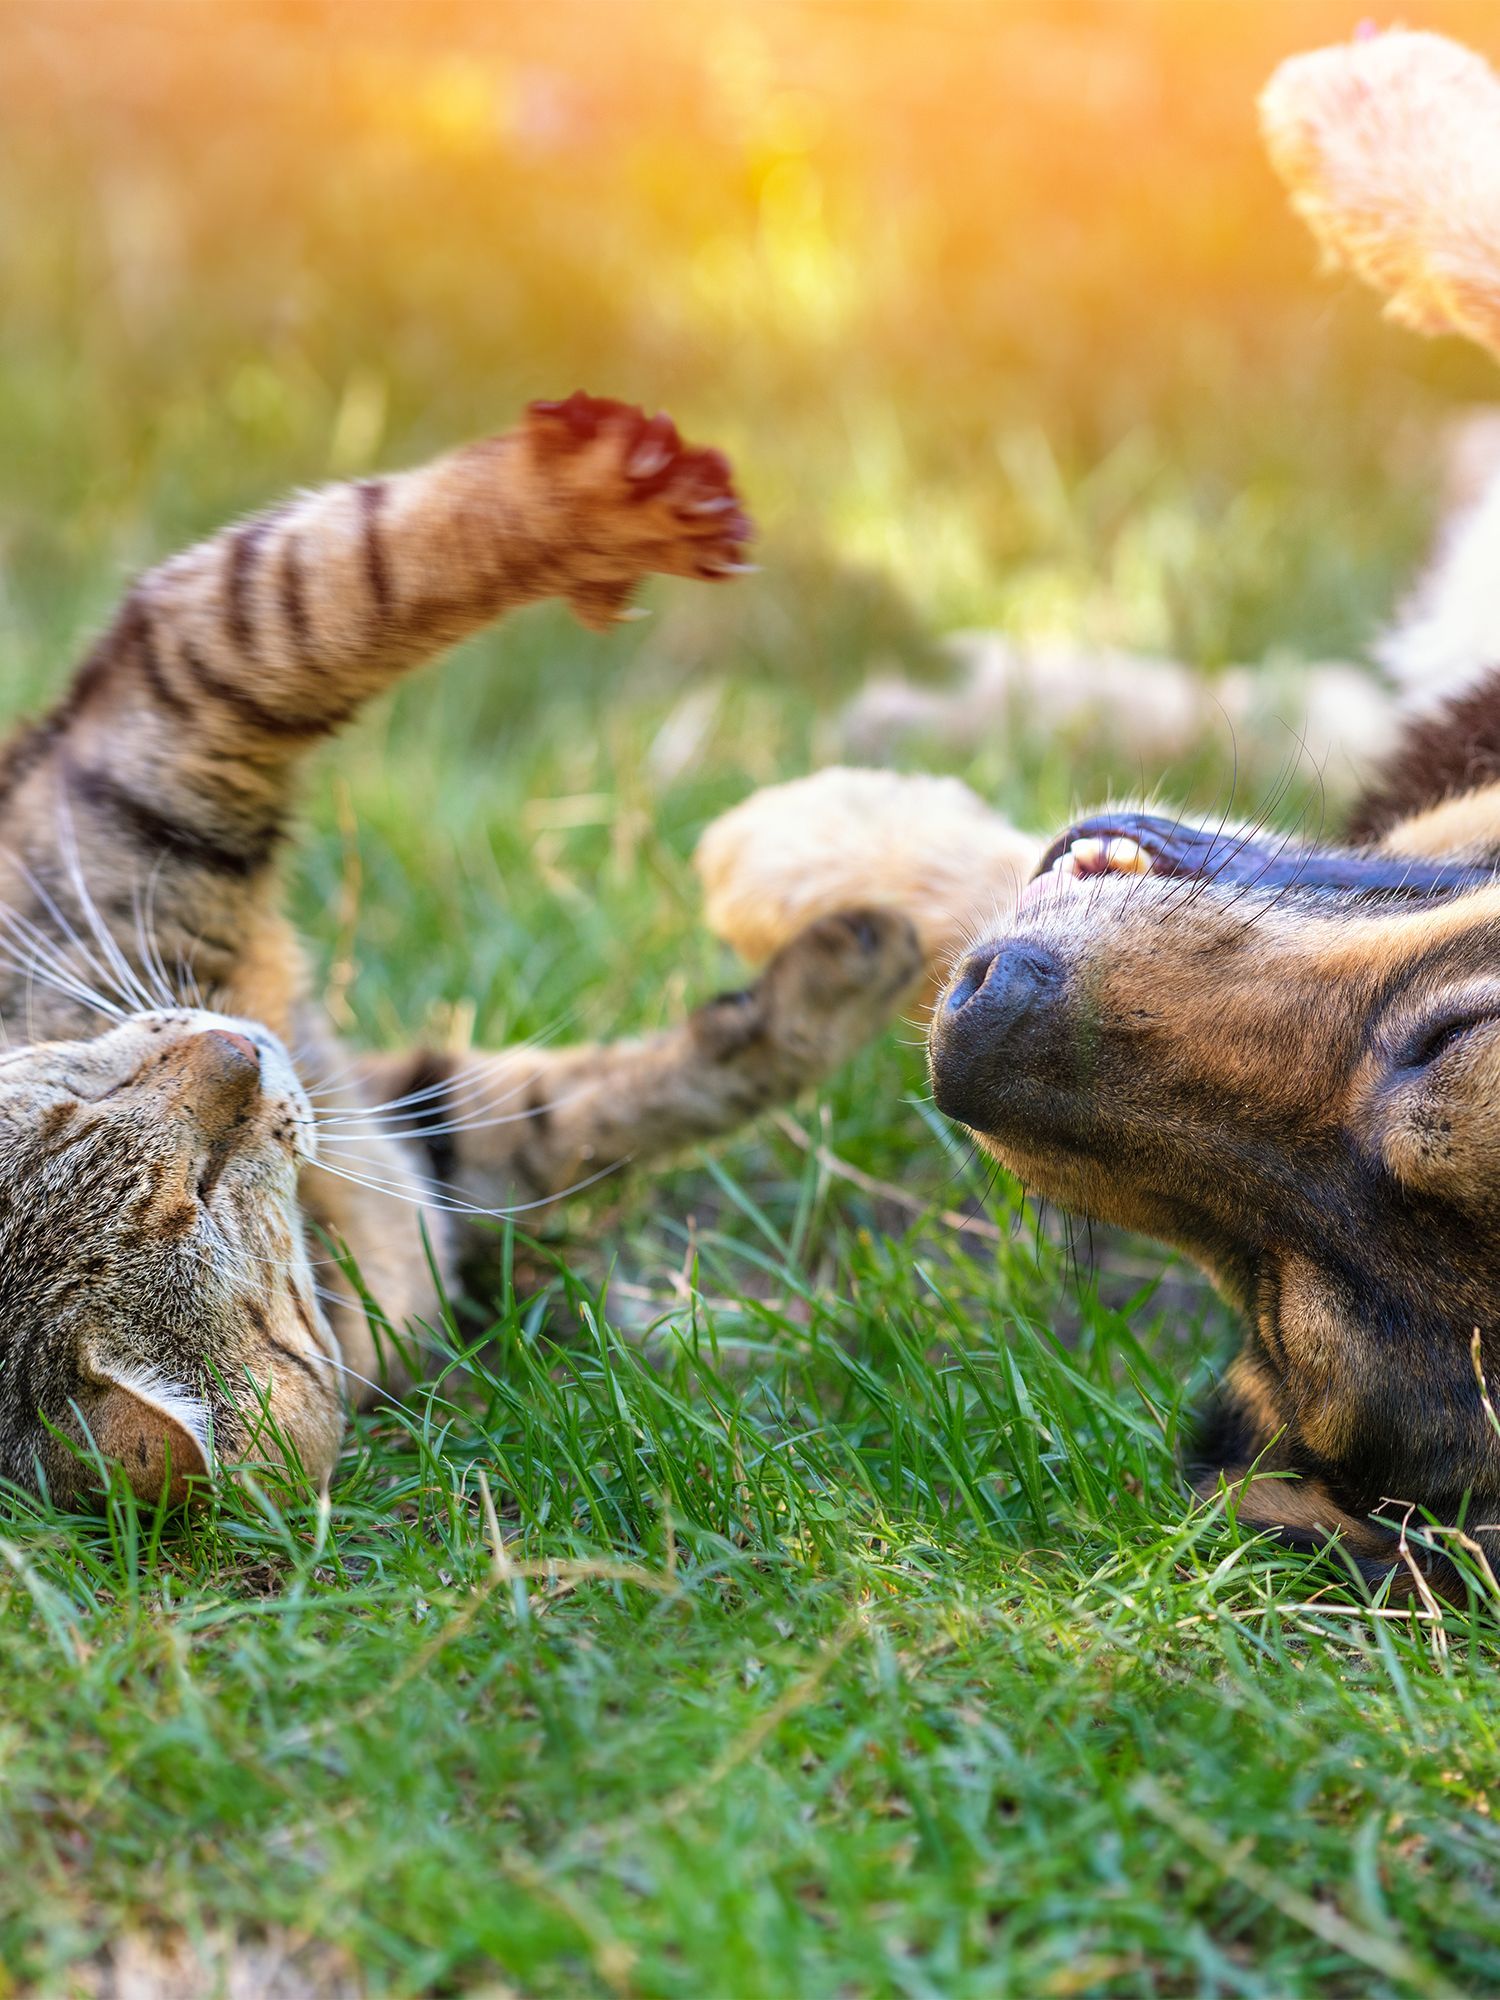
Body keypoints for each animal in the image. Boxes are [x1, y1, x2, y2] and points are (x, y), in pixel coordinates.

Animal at [0, 394, 924, 1504]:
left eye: (82, 1095)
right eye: (203, 1188)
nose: (236, 1050)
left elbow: (621, 1090)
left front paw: (836, 978)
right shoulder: (188, 693)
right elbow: (348, 570)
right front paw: (592, 501)